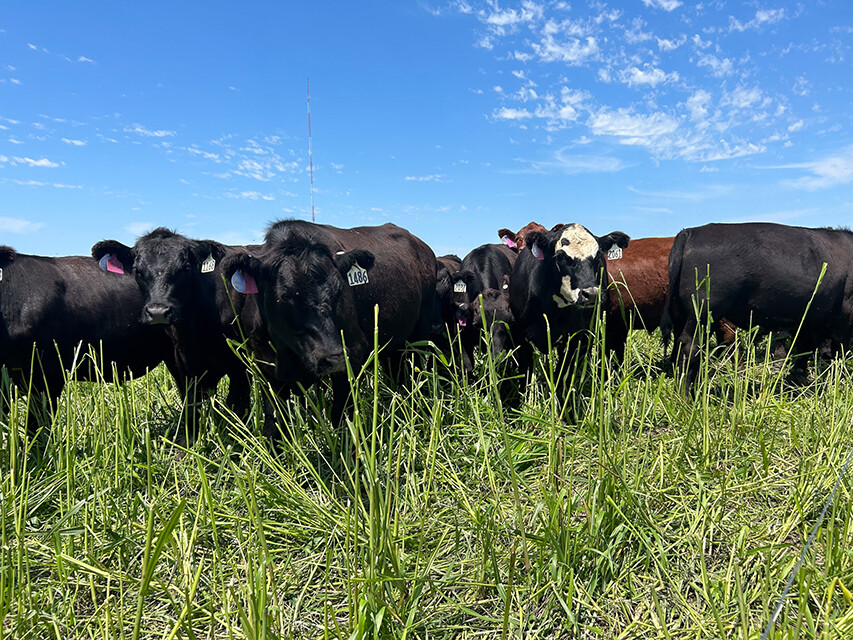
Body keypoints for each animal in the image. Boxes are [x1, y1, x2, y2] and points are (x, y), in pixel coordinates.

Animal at [92, 228, 270, 442]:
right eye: (137, 270)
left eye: (185, 268)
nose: (158, 312)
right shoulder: (181, 363)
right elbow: (191, 404)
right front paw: (188, 443)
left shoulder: (240, 363)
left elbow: (237, 406)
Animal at [221, 220, 432, 424]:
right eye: (285, 295)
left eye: (339, 290)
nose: (333, 358)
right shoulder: (266, 366)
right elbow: (274, 423)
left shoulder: (353, 354)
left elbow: (341, 416)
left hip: (419, 339)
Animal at [664, 222, 852, 392]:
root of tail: (691, 232)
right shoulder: (843, 314)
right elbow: (839, 349)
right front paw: (840, 382)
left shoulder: (811, 318)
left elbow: (806, 347)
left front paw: (796, 380)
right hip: (702, 313)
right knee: (690, 348)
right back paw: (687, 398)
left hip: (685, 314)